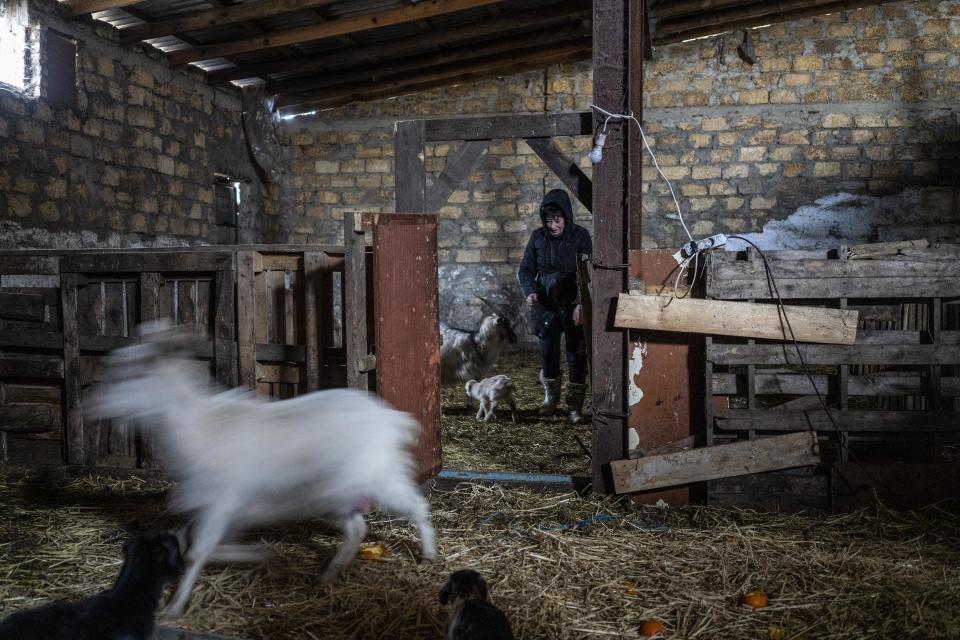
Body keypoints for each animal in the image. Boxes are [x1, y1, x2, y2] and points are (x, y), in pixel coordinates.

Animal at [92, 322, 436, 616]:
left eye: (135, 373)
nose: (93, 406)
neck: (198, 427)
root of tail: (392, 419)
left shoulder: (220, 503)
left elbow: (195, 552)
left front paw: (174, 607)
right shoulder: (218, 507)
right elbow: (194, 542)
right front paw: (258, 555)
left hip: (379, 478)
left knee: (417, 506)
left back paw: (428, 554)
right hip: (333, 496)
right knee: (356, 530)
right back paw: (328, 574)